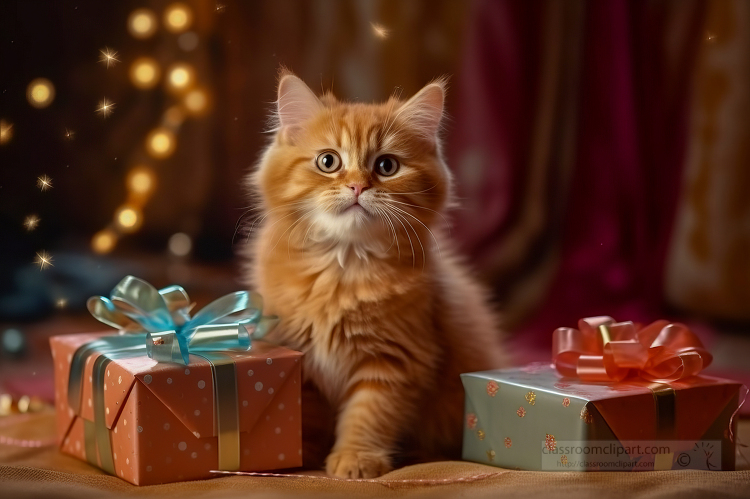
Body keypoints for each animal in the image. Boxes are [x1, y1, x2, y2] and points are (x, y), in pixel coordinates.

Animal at [244, 68, 508, 478]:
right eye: (328, 162)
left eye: (387, 166)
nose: (357, 185)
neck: (342, 268)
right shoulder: (302, 363)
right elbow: (308, 416)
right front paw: (301, 453)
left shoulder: (394, 360)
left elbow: (368, 415)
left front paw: (355, 458)